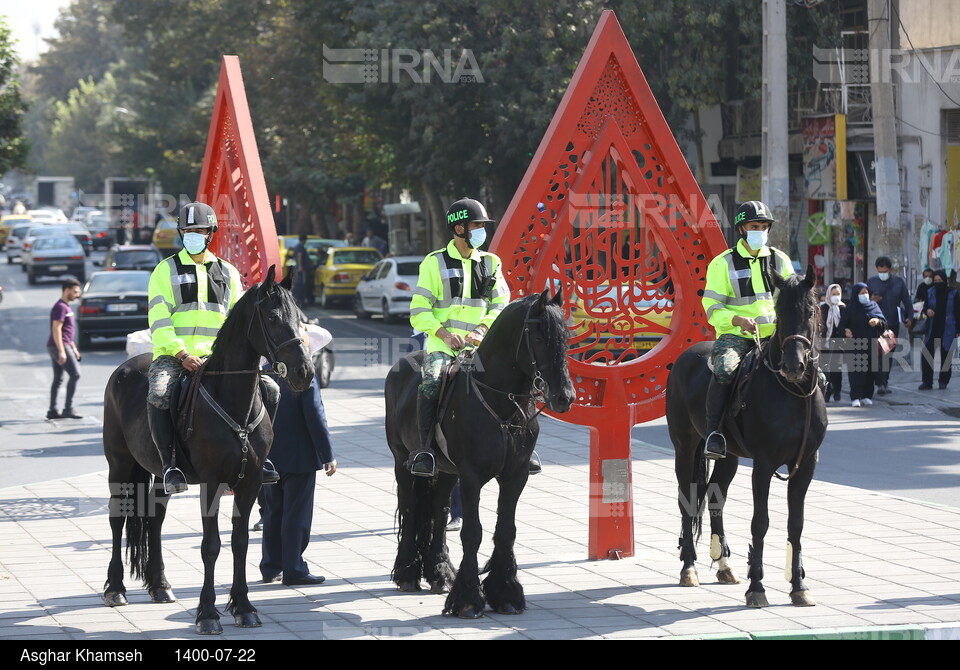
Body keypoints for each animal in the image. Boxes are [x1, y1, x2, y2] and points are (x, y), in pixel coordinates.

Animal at [101, 266, 314, 636]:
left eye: (299, 318)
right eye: (273, 318)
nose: (305, 372)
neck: (232, 399)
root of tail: (126, 367)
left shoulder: (250, 482)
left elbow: (240, 542)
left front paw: (243, 607)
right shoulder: (213, 483)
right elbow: (211, 546)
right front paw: (208, 613)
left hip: (162, 474)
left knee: (155, 519)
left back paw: (160, 585)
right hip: (120, 466)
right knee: (117, 518)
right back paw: (115, 588)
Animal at [384, 288, 576, 620]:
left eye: (566, 336)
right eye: (539, 337)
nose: (564, 397)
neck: (500, 403)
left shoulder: (516, 475)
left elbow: (506, 531)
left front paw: (506, 593)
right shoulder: (471, 476)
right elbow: (472, 533)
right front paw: (468, 599)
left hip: (446, 472)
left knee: (438, 513)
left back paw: (439, 574)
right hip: (402, 460)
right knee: (409, 508)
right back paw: (408, 574)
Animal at [668, 266, 824, 608]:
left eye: (810, 311)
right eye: (780, 311)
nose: (795, 365)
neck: (792, 393)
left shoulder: (806, 465)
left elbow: (797, 523)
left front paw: (799, 586)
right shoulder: (763, 466)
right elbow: (760, 522)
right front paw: (757, 588)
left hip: (730, 457)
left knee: (715, 498)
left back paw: (724, 566)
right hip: (684, 448)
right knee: (687, 501)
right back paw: (689, 569)